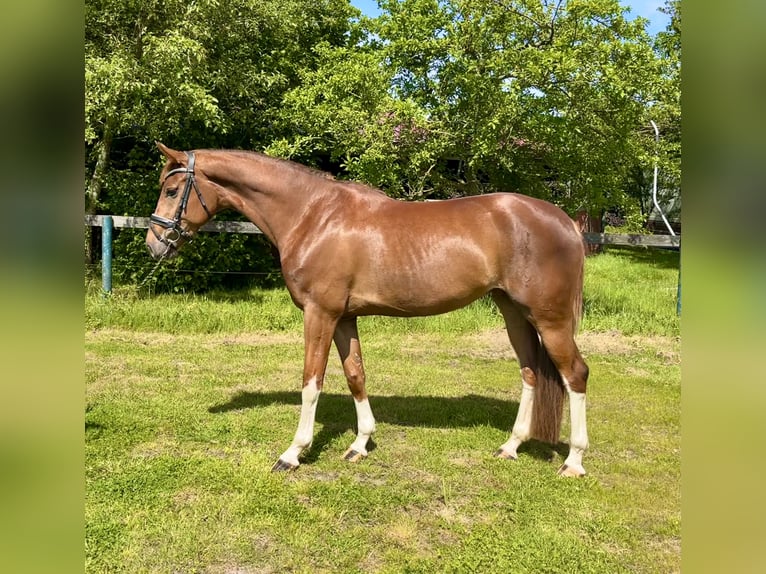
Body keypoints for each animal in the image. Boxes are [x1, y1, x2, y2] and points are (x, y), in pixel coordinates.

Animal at [146, 142, 590, 477]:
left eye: (172, 191)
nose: (153, 245)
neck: (313, 215)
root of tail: (567, 221)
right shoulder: (344, 317)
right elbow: (355, 375)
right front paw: (360, 444)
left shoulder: (320, 314)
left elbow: (312, 382)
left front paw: (293, 453)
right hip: (514, 312)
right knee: (530, 372)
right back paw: (510, 446)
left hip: (550, 319)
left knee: (575, 375)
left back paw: (573, 462)